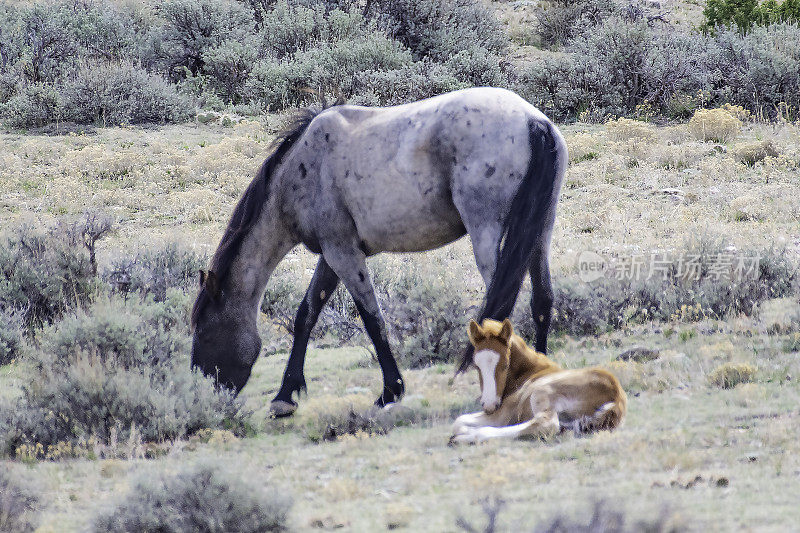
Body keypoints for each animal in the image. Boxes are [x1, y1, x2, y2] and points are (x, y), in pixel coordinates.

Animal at [191, 86, 568, 416]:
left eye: (203, 330)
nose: (207, 396)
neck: (303, 168)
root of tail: (532, 121)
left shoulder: (343, 254)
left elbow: (372, 319)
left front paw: (390, 391)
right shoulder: (332, 255)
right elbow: (306, 315)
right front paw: (286, 395)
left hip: (488, 234)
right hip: (540, 234)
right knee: (542, 301)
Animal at [450, 318, 624, 442]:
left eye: (505, 365)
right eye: (476, 366)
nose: (489, 405)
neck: (530, 371)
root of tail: (616, 397)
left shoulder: (504, 414)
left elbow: (458, 421)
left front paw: (465, 431)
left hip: (541, 392)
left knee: (547, 424)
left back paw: (466, 437)